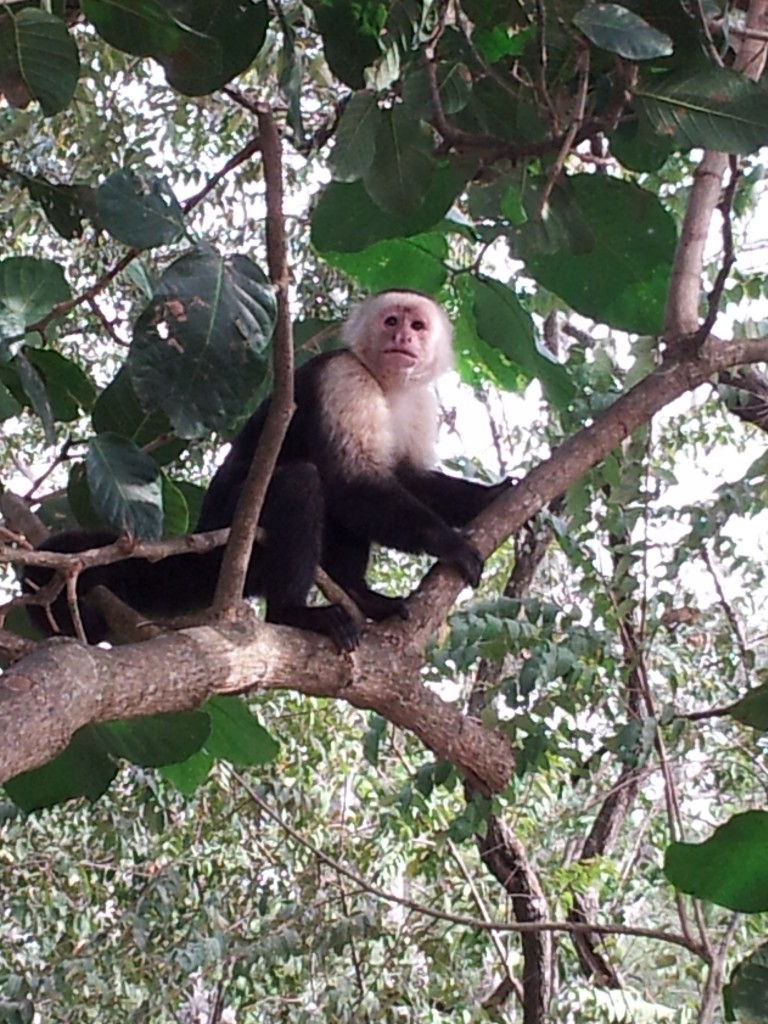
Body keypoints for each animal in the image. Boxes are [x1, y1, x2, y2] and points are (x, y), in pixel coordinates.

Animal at [22, 290, 509, 651]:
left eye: (418, 326)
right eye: (391, 321)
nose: (404, 337)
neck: (384, 382)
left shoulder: (420, 402)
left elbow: (405, 478)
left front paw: (490, 497)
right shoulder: (344, 378)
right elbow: (353, 482)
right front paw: (448, 542)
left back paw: (359, 596)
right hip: (233, 532)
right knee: (304, 482)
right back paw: (295, 612)